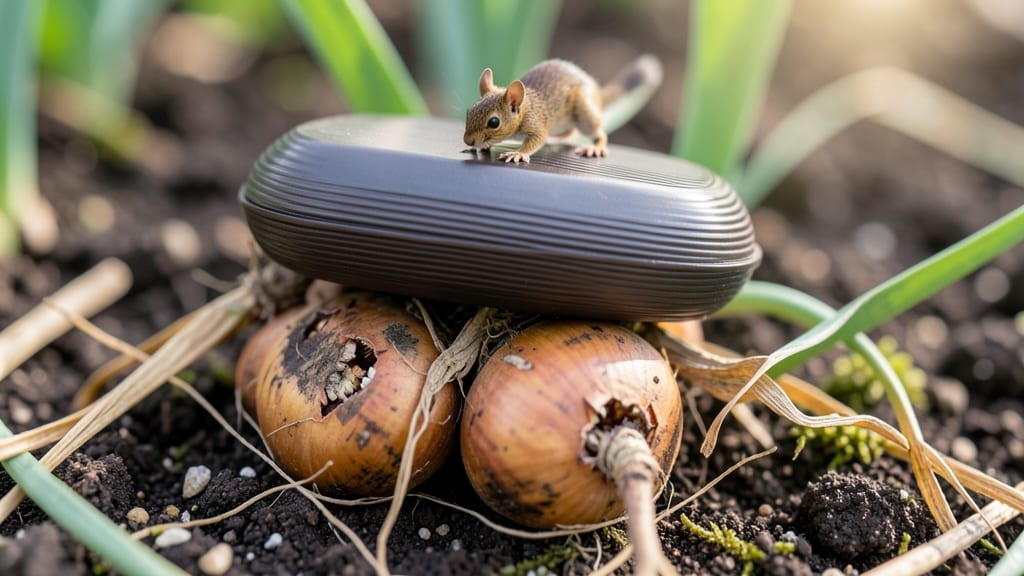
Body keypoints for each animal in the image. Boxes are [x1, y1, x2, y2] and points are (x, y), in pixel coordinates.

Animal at [463, 55, 663, 164]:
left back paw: (596, 147)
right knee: (569, 133)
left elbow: (537, 140)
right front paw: (481, 147)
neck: (526, 108)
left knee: (599, 133)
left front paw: (518, 153)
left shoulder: (536, 123)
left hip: (584, 114)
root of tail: (597, 95)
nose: (468, 141)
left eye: (494, 122)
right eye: (468, 112)